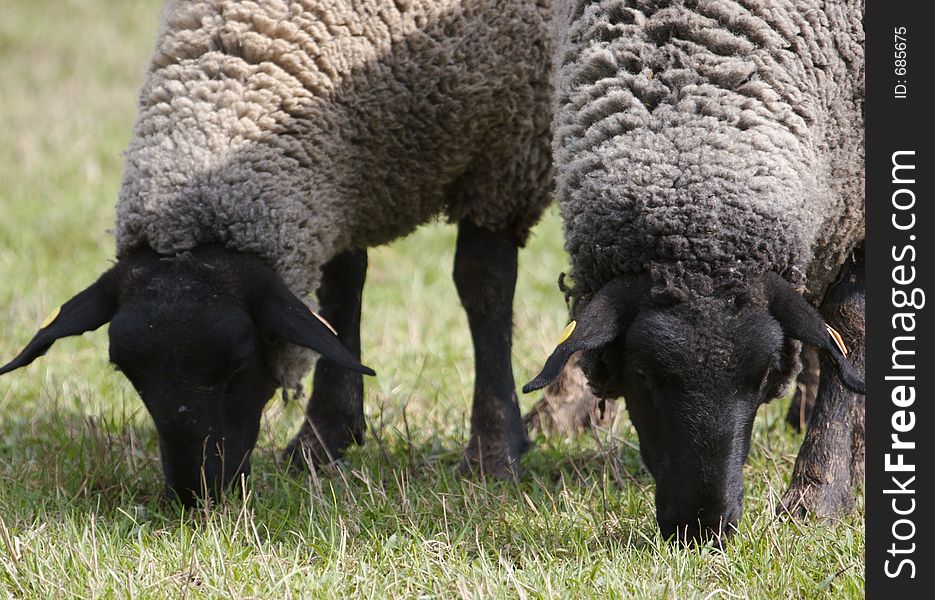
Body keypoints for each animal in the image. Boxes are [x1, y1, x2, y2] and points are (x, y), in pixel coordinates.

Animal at [0, 0, 552, 506]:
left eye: (240, 361)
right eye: (125, 370)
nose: (196, 495)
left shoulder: (506, 155)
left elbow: (484, 286)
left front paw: (494, 452)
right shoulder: (346, 180)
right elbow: (340, 293)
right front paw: (321, 439)